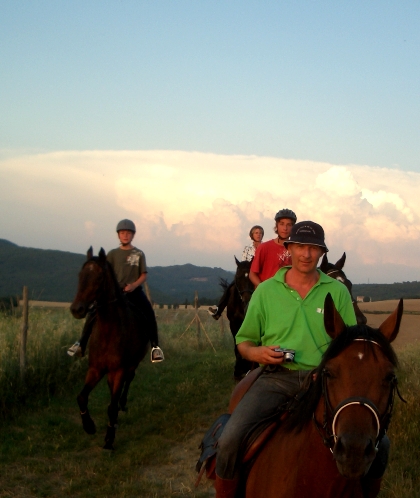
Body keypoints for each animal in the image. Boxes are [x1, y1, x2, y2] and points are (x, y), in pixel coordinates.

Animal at [71, 247, 150, 450]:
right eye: (80, 275)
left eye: (99, 277)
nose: (77, 309)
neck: (109, 330)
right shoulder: (96, 369)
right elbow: (81, 397)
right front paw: (89, 426)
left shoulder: (119, 370)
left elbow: (112, 406)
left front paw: (109, 439)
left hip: (133, 363)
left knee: (129, 380)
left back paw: (123, 404)